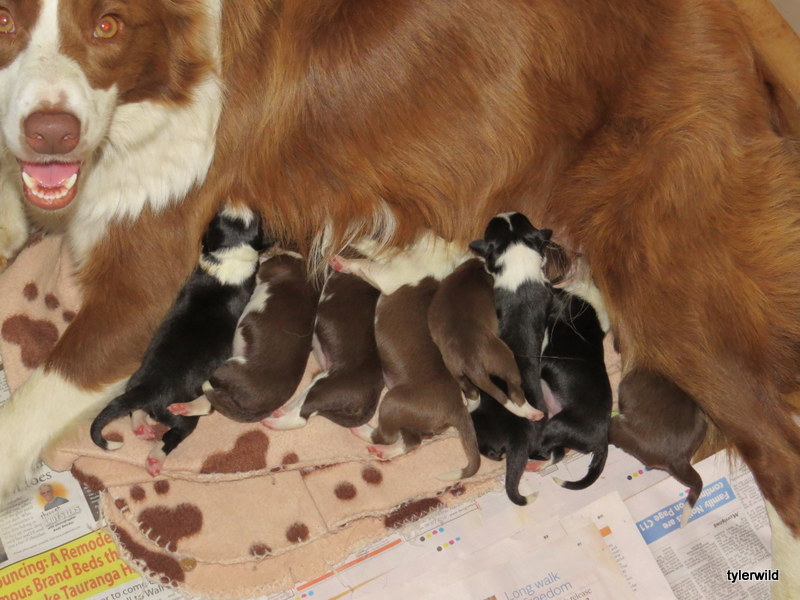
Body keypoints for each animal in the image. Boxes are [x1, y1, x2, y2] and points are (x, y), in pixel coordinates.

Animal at [89, 206, 264, 475]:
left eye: (216, 218)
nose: (235, 203)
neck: (227, 255)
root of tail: (148, 387)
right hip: (180, 417)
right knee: (176, 432)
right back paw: (156, 456)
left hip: (134, 382)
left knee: (135, 409)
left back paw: (141, 427)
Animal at [261, 269, 383, 429]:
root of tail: (371, 402)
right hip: (321, 381)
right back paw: (282, 410)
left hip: (324, 389)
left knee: (300, 417)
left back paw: (270, 422)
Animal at [428, 257, 543, 421]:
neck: (472, 270)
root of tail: (472, 363)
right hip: (506, 360)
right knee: (515, 393)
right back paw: (533, 413)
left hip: (457, 373)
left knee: (473, 394)